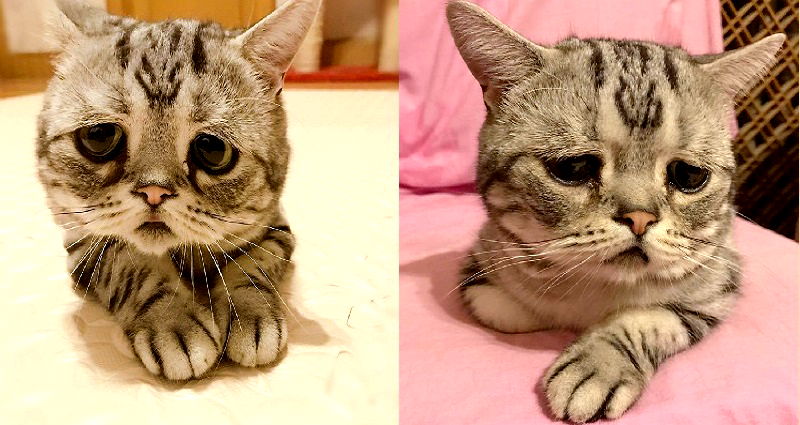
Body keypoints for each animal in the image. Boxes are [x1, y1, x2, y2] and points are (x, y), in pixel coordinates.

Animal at [36, 0, 318, 380]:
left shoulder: (275, 225)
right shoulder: (82, 242)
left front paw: (250, 312)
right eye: (100, 137)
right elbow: (131, 265)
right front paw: (173, 321)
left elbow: (253, 265)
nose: (154, 191)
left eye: (212, 149)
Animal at [446, 1, 784, 422]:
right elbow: (500, 305)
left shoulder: (718, 283)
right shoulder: (485, 254)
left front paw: (598, 365)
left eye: (688, 175)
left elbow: (651, 318)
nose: (640, 218)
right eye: (574, 168)